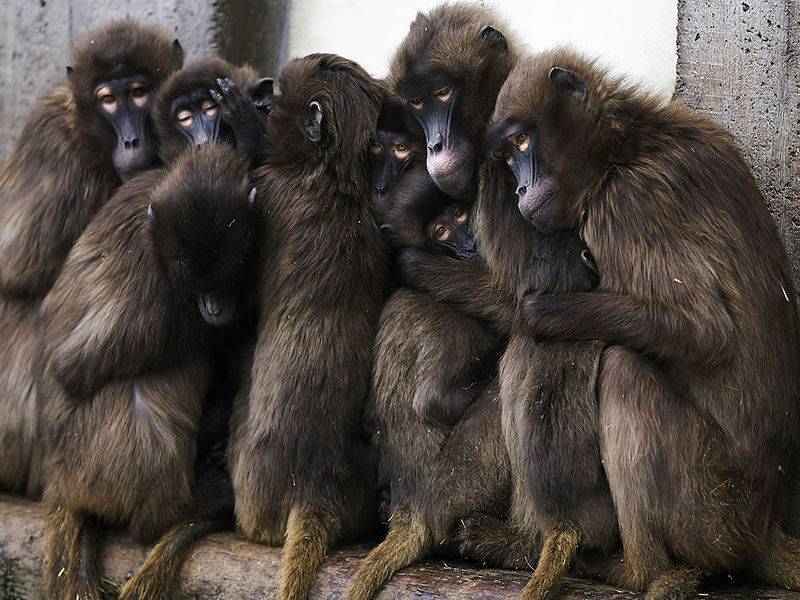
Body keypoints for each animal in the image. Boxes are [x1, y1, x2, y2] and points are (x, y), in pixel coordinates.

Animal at [40, 145, 260, 600]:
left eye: (226, 271)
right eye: (194, 281)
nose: (213, 307)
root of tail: (58, 481)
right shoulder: (157, 284)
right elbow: (73, 366)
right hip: (82, 461)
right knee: (162, 379)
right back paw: (176, 511)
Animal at [225, 52, 388, 600]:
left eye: (277, 101)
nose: (263, 99)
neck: (332, 175)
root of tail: (314, 488)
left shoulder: (265, 192)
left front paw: (242, 124)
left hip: (254, 490)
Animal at [500, 48, 800, 600]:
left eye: (524, 142)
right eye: (508, 156)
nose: (520, 188)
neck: (622, 148)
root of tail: (765, 524)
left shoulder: (624, 205)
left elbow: (706, 329)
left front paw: (538, 312)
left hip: (713, 508)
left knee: (622, 371)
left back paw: (639, 572)